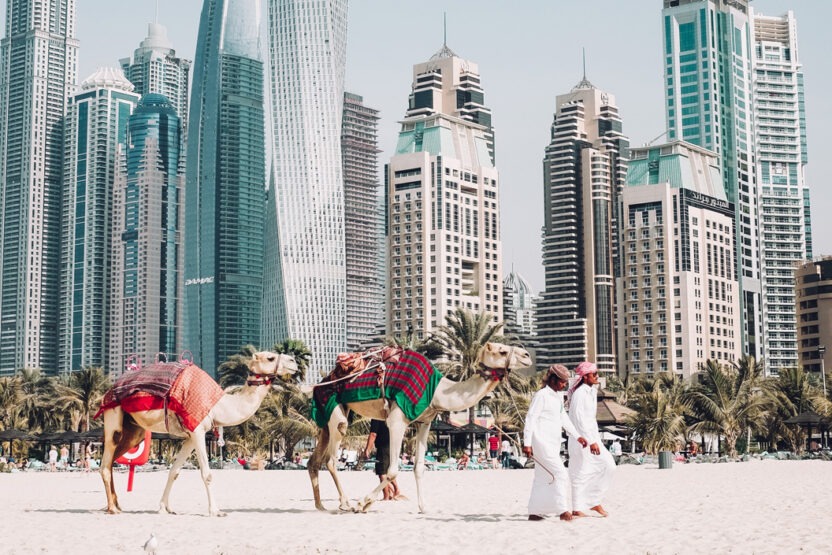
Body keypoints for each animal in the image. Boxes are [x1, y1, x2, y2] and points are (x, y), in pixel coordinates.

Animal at [98, 352, 300, 516]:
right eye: (270, 358)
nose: (294, 362)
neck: (218, 406)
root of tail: (108, 392)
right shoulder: (198, 430)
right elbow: (207, 473)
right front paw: (216, 511)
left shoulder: (190, 436)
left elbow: (174, 471)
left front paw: (164, 508)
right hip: (113, 414)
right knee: (106, 462)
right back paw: (112, 508)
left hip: (134, 430)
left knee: (115, 458)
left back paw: (117, 504)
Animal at [308, 340, 532, 516]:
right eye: (502, 351)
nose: (527, 356)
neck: (436, 392)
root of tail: (320, 383)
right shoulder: (397, 420)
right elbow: (392, 470)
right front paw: (362, 503)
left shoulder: (425, 422)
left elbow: (419, 467)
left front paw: (423, 507)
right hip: (334, 406)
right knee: (331, 458)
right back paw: (345, 503)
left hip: (327, 415)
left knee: (314, 460)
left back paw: (320, 506)